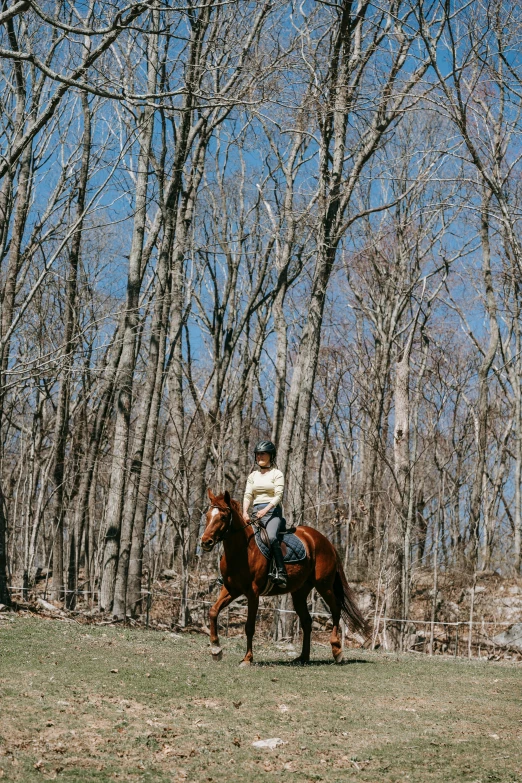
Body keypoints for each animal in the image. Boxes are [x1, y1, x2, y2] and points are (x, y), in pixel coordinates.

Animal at [199, 490, 366, 668]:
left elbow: (249, 626)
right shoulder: (231, 589)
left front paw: (247, 659)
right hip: (300, 592)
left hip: (324, 586)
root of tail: (325, 541)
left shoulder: (253, 593)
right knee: (307, 621)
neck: (242, 551)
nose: (205, 542)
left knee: (335, 610)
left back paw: (337, 651)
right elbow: (213, 611)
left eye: (223, 517)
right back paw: (303, 657)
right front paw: (216, 649)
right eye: (208, 516)